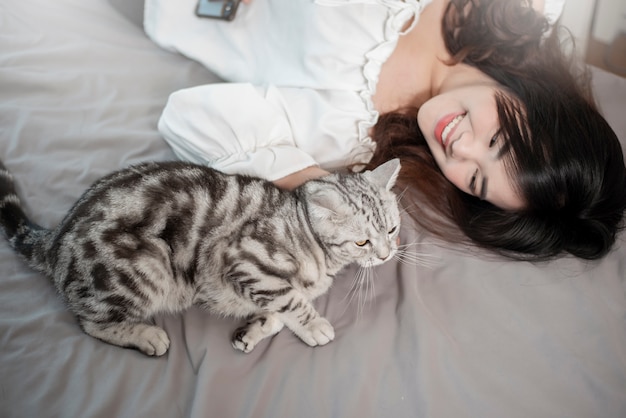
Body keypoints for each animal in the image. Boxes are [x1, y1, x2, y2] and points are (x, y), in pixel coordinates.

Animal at [0, 158, 400, 354]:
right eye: (363, 243)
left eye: (393, 230)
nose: (386, 255)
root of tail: (57, 235)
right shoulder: (244, 258)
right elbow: (290, 301)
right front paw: (313, 325)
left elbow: (279, 309)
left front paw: (254, 330)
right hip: (144, 270)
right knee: (91, 323)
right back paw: (147, 336)